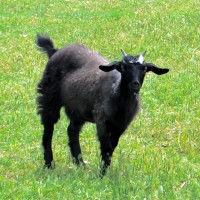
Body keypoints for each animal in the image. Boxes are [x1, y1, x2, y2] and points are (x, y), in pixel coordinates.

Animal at [36, 34, 169, 177]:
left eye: (144, 69)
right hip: (48, 96)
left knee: (72, 131)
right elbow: (106, 146)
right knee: (48, 127)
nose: (135, 84)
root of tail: (55, 51)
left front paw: (104, 170)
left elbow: (112, 147)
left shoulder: (121, 125)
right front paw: (102, 175)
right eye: (123, 67)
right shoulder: (102, 120)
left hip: (77, 109)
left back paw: (81, 165)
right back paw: (49, 164)